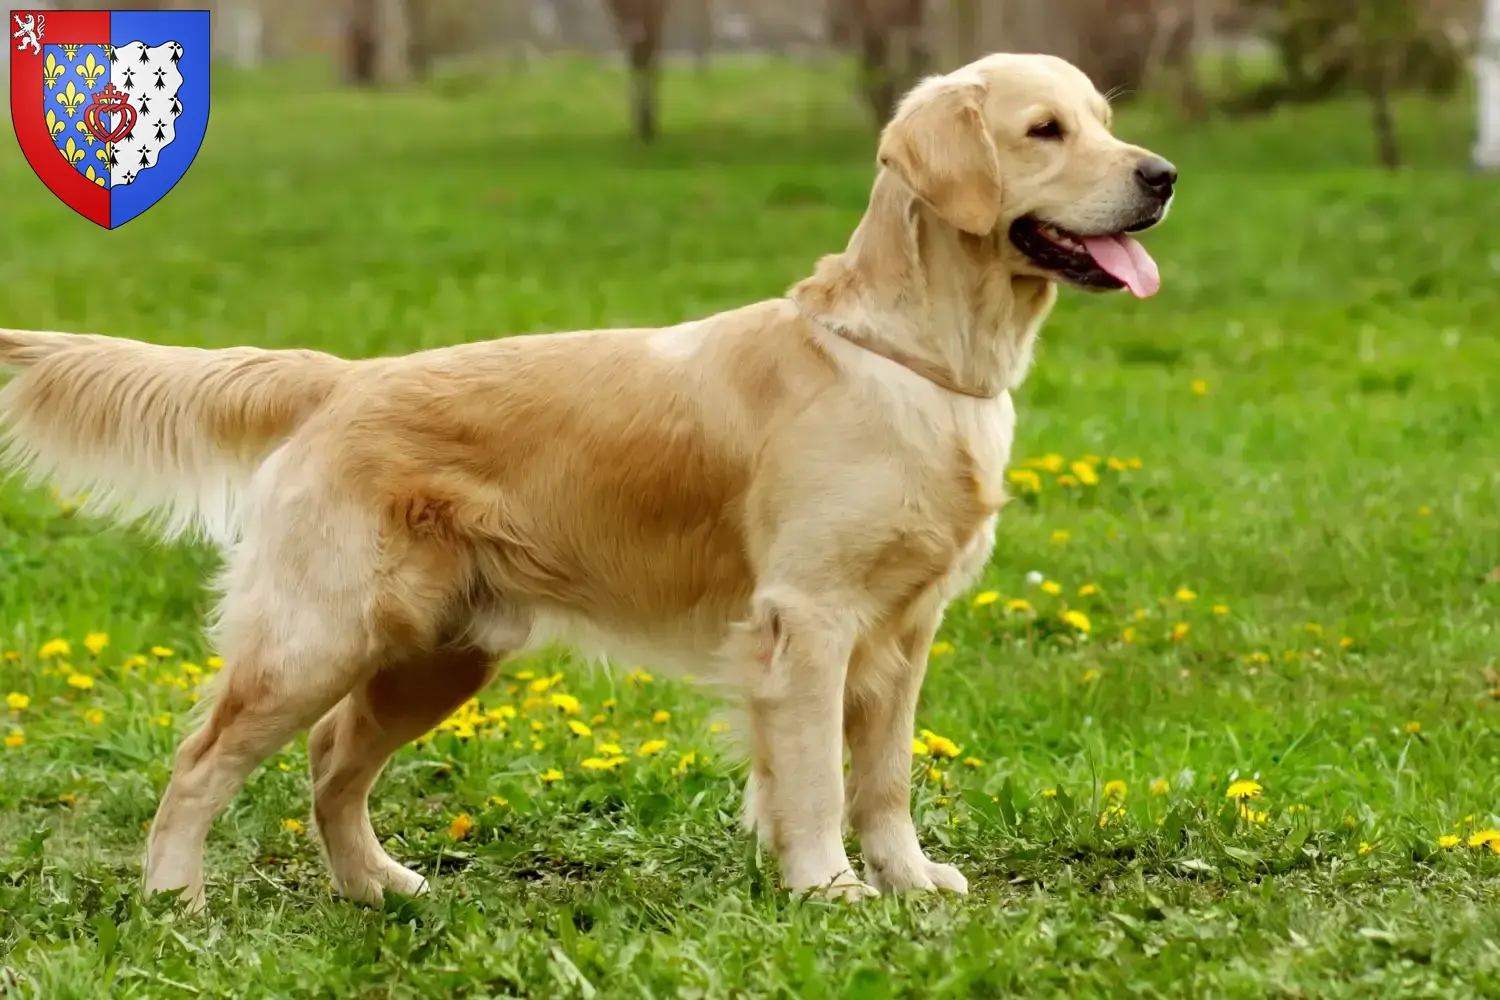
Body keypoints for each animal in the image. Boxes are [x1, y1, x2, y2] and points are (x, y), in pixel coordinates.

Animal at [0, 50, 1170, 905]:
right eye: (1044, 131)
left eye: (1103, 119)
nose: (1160, 176)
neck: (912, 356)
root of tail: (341, 378)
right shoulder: (808, 619)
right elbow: (817, 779)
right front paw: (828, 890)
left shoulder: (907, 626)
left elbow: (884, 775)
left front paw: (912, 880)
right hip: (318, 633)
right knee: (202, 762)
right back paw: (174, 899)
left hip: (440, 653)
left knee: (332, 762)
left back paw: (377, 885)